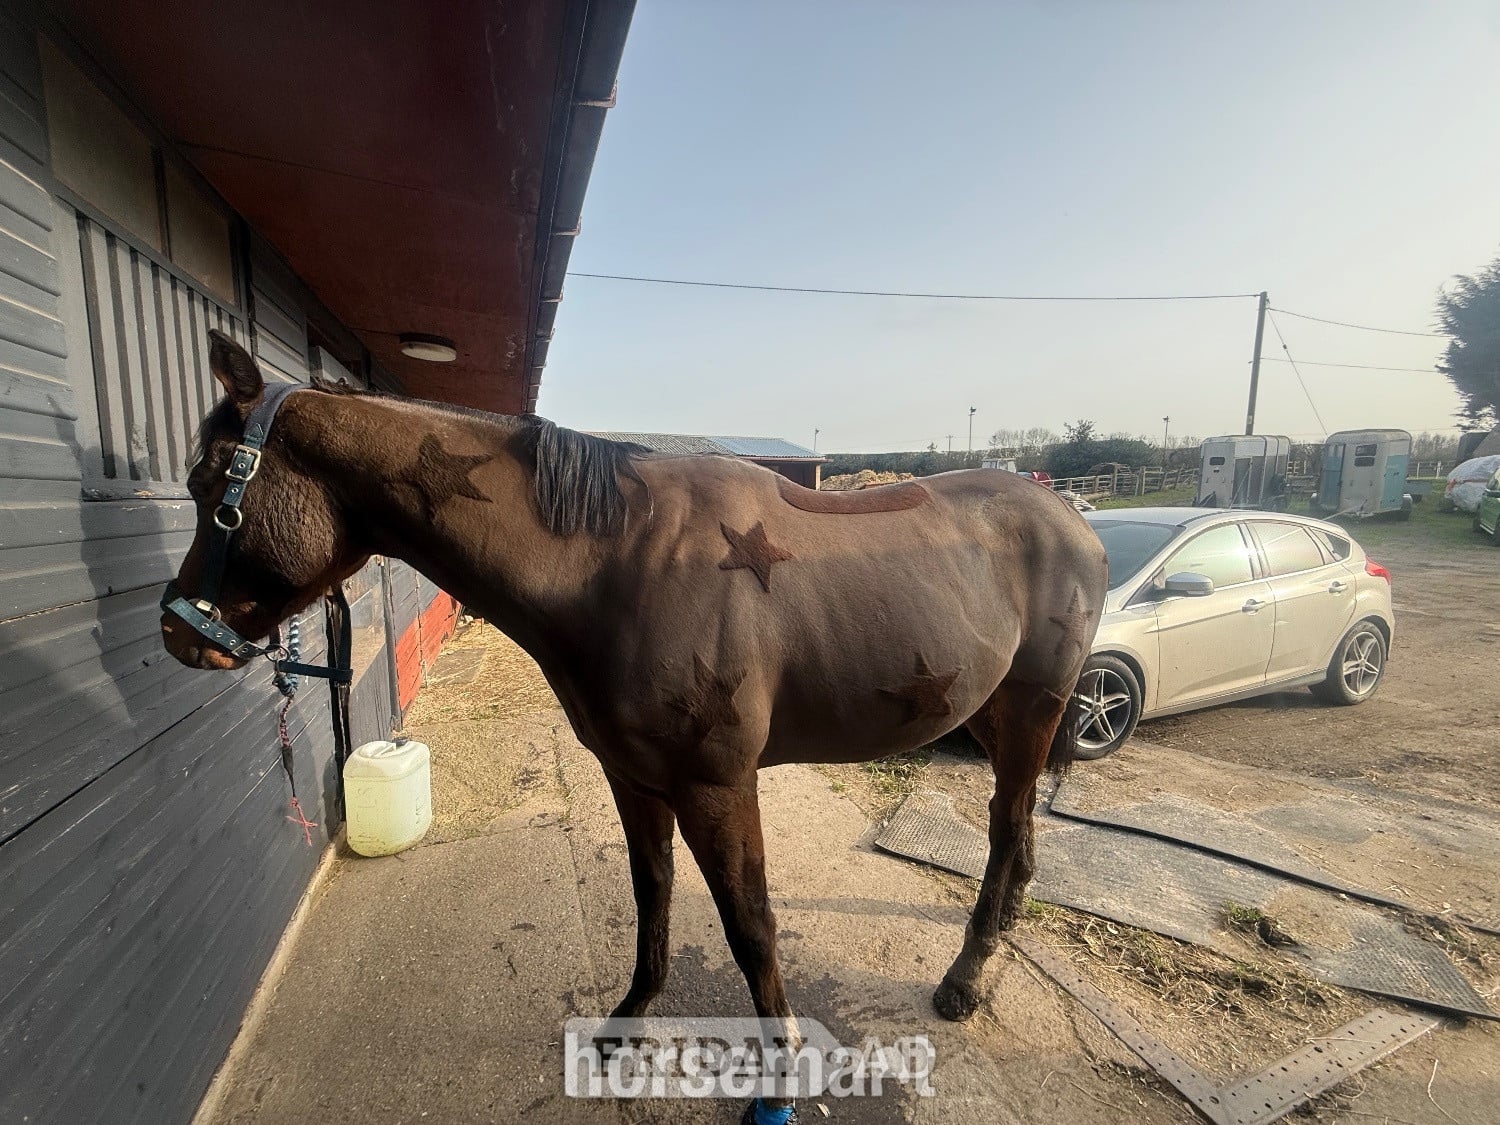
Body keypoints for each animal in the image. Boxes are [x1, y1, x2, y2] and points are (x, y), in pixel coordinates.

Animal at [163, 331, 1108, 1121]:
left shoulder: (717, 785)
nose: (177, 631)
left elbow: (750, 923)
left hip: (1032, 709)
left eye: (210, 486)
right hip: (992, 714)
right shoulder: (635, 776)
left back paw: (967, 973)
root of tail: (1070, 517)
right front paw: (629, 1019)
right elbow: (653, 890)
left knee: (1005, 825)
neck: (619, 561)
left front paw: (777, 1079)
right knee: (1020, 830)